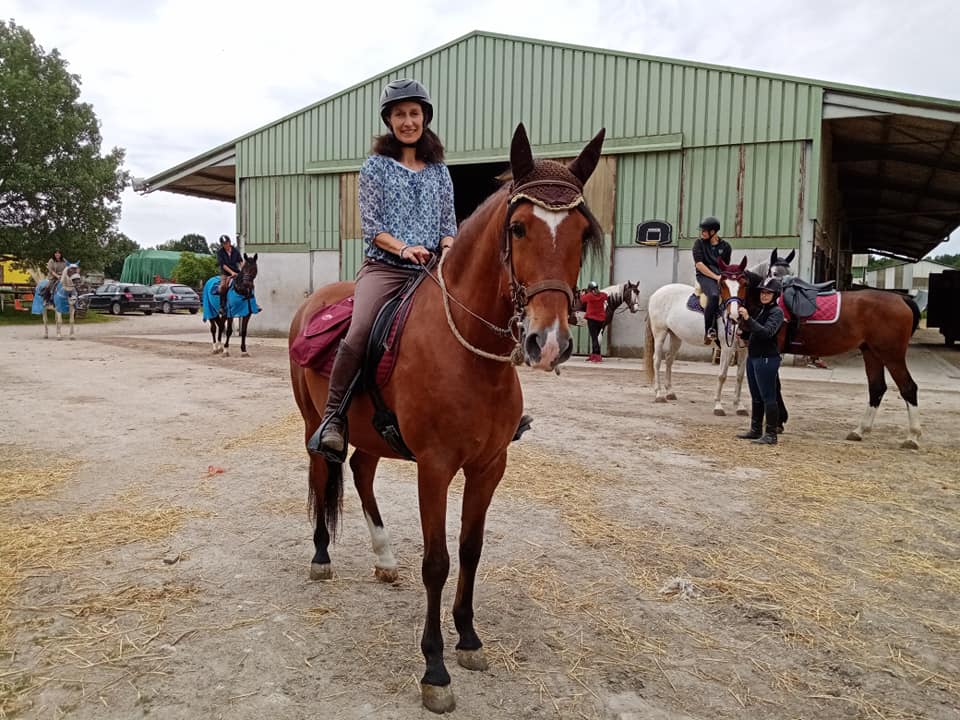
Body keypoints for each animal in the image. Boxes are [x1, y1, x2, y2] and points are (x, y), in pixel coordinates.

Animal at [288, 124, 605, 713]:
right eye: (519, 228)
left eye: (581, 233)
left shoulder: (489, 467)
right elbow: (436, 561)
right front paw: (434, 669)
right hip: (312, 423)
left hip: (373, 435)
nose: (547, 343)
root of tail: (315, 301)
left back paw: (385, 557)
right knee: (323, 472)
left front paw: (469, 638)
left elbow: (470, 550)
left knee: (361, 473)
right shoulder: (434, 467)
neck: (468, 352)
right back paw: (321, 556)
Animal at [644, 249, 793, 415]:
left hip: (676, 336)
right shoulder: (727, 347)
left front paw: (739, 406)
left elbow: (740, 376)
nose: (734, 315)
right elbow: (722, 375)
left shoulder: (744, 348)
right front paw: (718, 406)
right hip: (660, 333)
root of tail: (657, 293)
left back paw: (670, 392)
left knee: (669, 359)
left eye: (744, 284)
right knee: (657, 360)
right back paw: (658, 394)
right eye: (774, 273)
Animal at [779, 288, 922, 449]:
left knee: (908, 388)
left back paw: (912, 437)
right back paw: (860, 430)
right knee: (877, 388)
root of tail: (902, 299)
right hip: (871, 353)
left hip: (891, 356)